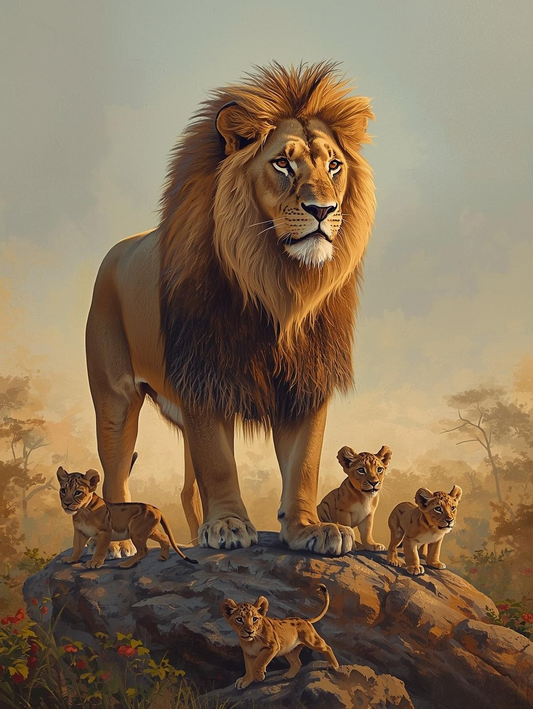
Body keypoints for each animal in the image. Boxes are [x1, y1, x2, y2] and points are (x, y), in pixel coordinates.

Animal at [57, 465, 197, 569]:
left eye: (77, 492)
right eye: (63, 491)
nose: (66, 503)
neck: (82, 512)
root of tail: (156, 508)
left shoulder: (105, 532)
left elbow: (100, 549)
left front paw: (94, 562)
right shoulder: (80, 532)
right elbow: (77, 547)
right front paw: (71, 559)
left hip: (136, 532)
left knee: (143, 550)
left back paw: (125, 564)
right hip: (148, 531)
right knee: (164, 537)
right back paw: (163, 557)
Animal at [86, 62, 376, 556]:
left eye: (334, 165)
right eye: (283, 163)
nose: (323, 209)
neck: (278, 284)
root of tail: (115, 251)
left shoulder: (307, 378)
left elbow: (304, 463)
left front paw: (307, 529)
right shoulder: (205, 375)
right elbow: (218, 462)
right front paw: (226, 525)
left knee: (185, 488)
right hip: (114, 399)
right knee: (115, 471)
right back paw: (121, 543)